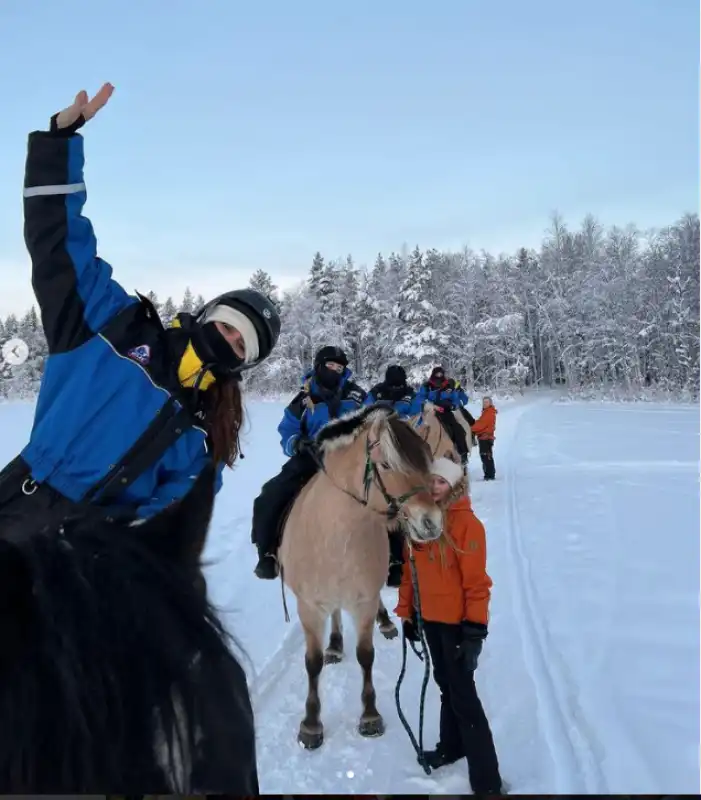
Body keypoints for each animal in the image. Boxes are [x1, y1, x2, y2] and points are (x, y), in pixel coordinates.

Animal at [276, 406, 440, 752]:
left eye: (426, 459)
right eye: (387, 464)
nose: (432, 522)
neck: (336, 533)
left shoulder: (363, 601)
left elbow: (366, 655)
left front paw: (369, 715)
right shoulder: (309, 608)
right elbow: (312, 662)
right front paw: (311, 723)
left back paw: (384, 623)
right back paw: (336, 644)